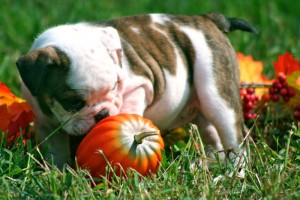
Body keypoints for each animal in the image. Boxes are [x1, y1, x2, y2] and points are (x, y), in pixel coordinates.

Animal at [16, 12, 255, 168]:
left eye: (115, 85)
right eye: (73, 103)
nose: (103, 113)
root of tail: (208, 19)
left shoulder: (139, 85)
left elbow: (130, 103)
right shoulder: (47, 123)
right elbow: (54, 148)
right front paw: (57, 171)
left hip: (216, 92)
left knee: (233, 133)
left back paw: (234, 171)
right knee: (211, 133)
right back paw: (211, 162)